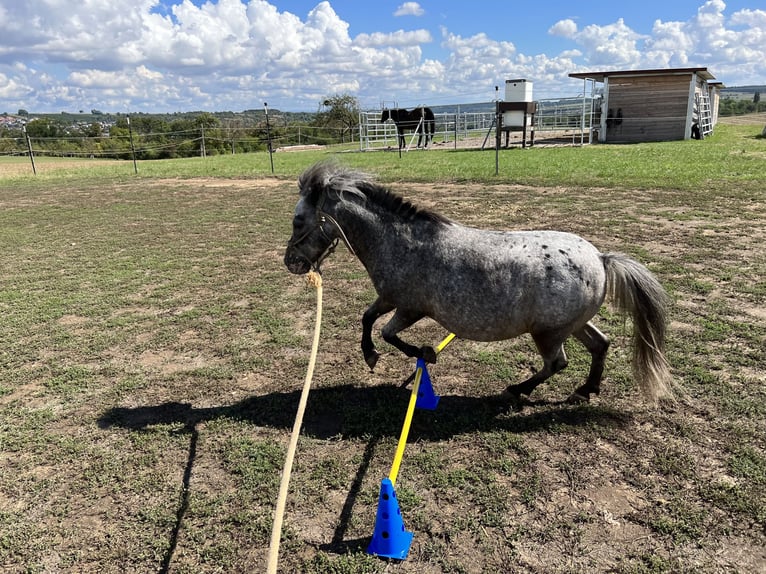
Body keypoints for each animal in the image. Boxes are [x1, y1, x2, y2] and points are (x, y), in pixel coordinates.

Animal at [284, 162, 673, 407]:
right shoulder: (390, 298)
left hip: (548, 333)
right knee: (600, 345)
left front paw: (423, 353)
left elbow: (387, 333)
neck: (401, 243)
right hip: (571, 325)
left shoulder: (409, 308)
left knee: (557, 364)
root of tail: (600, 258)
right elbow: (367, 319)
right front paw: (372, 356)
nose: (291, 262)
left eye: (298, 220)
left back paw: (518, 389)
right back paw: (585, 391)